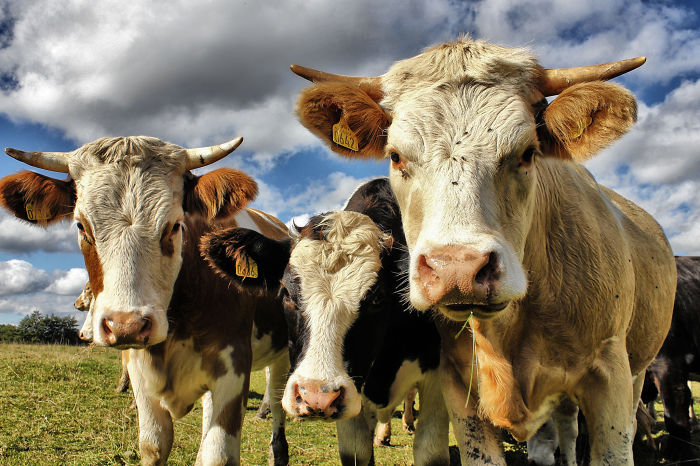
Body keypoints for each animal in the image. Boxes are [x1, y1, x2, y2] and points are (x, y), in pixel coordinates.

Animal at [0, 136, 290, 466]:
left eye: (175, 225)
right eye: (81, 226)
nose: (125, 326)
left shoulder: (232, 370)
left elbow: (218, 455)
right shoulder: (142, 373)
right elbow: (154, 445)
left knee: (278, 403)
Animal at [289, 37, 677, 465]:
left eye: (528, 152)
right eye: (395, 156)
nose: (456, 270)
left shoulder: (609, 378)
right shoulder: (457, 386)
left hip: (636, 369)